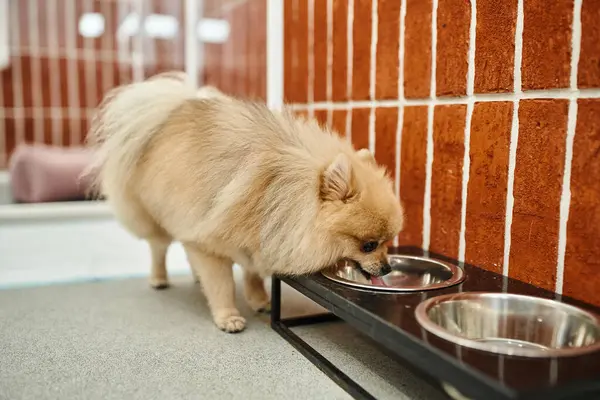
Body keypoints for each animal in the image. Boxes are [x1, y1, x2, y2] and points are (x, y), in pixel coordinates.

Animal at [83, 72, 404, 334]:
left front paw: (260, 299)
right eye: (369, 245)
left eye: (388, 242)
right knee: (158, 248)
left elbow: (252, 272)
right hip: (157, 216)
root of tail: (169, 113)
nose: (387, 268)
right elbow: (222, 283)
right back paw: (159, 278)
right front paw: (228, 316)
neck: (279, 190)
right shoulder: (210, 240)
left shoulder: (257, 234)